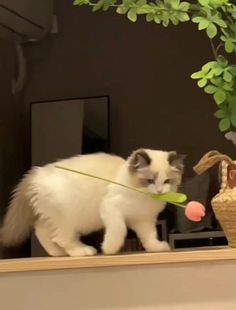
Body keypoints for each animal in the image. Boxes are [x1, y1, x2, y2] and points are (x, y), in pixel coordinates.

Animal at [0, 149, 184, 256]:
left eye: (167, 181)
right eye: (149, 181)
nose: (159, 192)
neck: (143, 199)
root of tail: (35, 173)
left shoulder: (144, 220)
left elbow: (149, 237)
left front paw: (156, 247)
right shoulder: (111, 209)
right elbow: (120, 230)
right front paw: (109, 249)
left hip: (55, 220)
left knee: (43, 232)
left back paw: (58, 253)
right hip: (69, 220)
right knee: (61, 238)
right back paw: (83, 251)